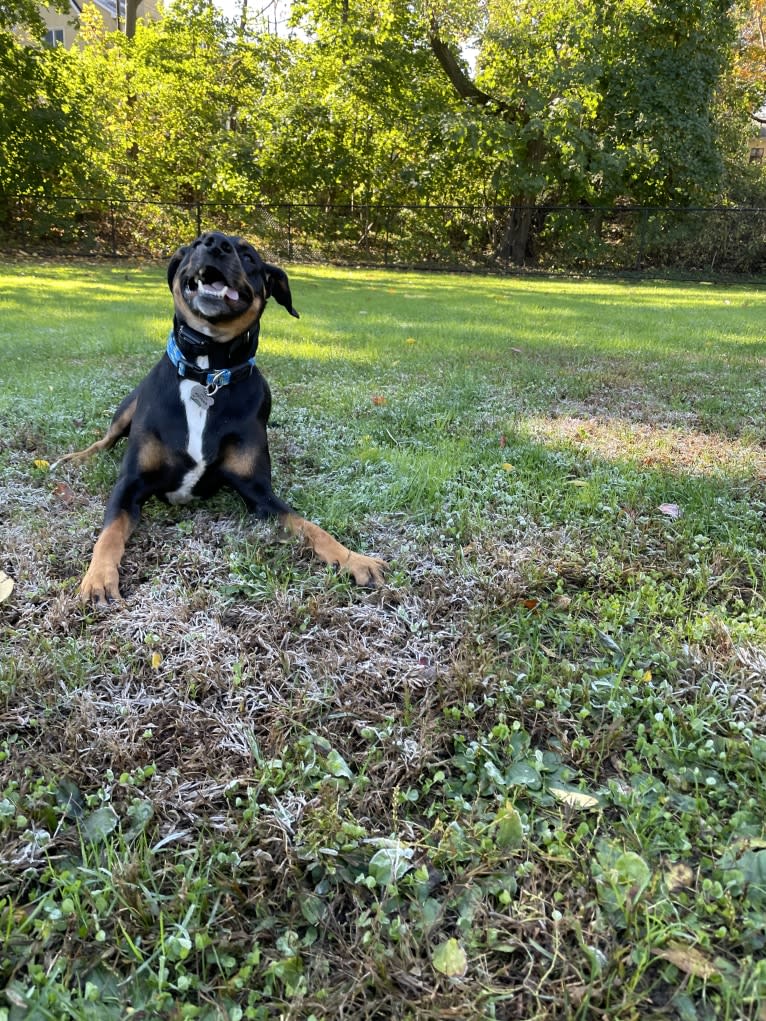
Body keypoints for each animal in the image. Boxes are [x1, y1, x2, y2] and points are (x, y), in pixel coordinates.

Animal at [56, 229, 386, 604]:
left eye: (249, 256)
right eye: (196, 244)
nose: (215, 243)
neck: (208, 373)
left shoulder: (259, 493)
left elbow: (311, 528)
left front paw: (353, 559)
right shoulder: (130, 483)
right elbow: (109, 533)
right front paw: (98, 577)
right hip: (129, 406)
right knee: (106, 439)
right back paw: (76, 458)